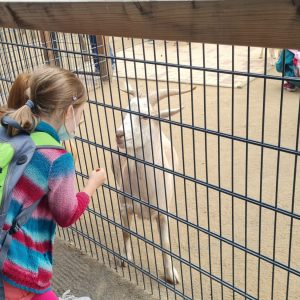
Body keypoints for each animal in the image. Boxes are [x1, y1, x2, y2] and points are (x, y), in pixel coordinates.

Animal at [111, 82, 196, 284]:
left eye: (144, 116)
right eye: (125, 112)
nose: (119, 134)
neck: (145, 190)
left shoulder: (163, 214)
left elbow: (165, 243)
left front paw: (171, 275)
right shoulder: (124, 207)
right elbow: (126, 232)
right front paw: (125, 258)